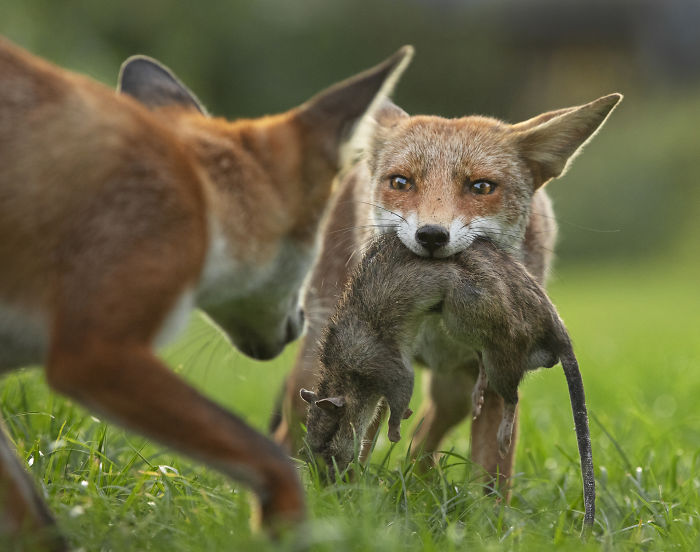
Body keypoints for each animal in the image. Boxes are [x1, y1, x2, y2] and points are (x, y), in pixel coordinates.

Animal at [0, 36, 413, 548]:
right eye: (312, 250)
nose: (300, 325)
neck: (203, 198)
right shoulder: (95, 353)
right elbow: (272, 458)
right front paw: (290, 528)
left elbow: (37, 522)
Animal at [274, 91, 621, 492]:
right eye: (401, 182)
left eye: (481, 187)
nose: (431, 235)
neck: (437, 324)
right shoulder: (382, 372)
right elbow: (364, 443)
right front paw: (349, 496)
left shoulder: (496, 371)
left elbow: (491, 481)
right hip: (314, 370)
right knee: (292, 431)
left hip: (455, 392)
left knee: (423, 441)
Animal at [300, 232, 595, 529]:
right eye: (307, 450)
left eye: (328, 440)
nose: (330, 496)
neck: (340, 376)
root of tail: (555, 327)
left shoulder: (385, 365)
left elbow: (401, 392)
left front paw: (395, 429)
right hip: (463, 325)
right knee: (483, 359)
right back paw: (479, 387)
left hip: (479, 321)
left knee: (510, 394)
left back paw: (503, 431)